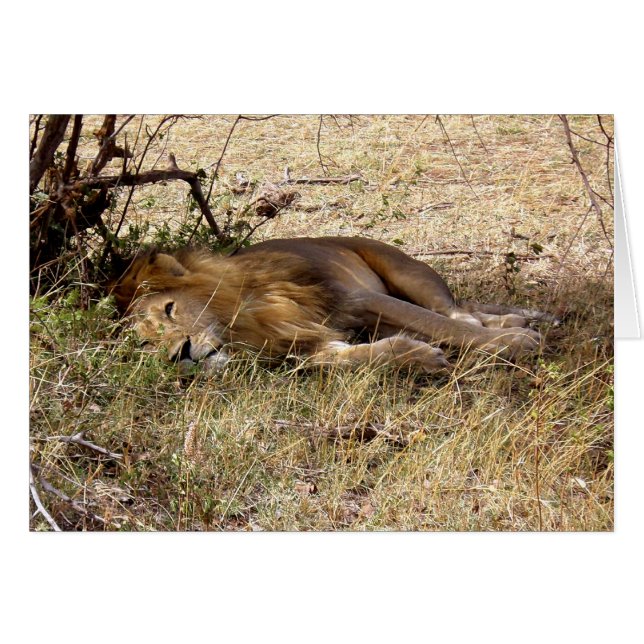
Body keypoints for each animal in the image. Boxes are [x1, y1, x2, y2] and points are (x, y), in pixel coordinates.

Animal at [110, 236, 557, 374]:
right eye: (146, 345)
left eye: (170, 309)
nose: (179, 354)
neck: (247, 323)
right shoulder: (309, 344)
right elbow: (354, 357)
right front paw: (419, 355)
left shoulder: (356, 299)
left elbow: (445, 326)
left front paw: (517, 345)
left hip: (406, 272)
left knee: (454, 312)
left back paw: (516, 327)